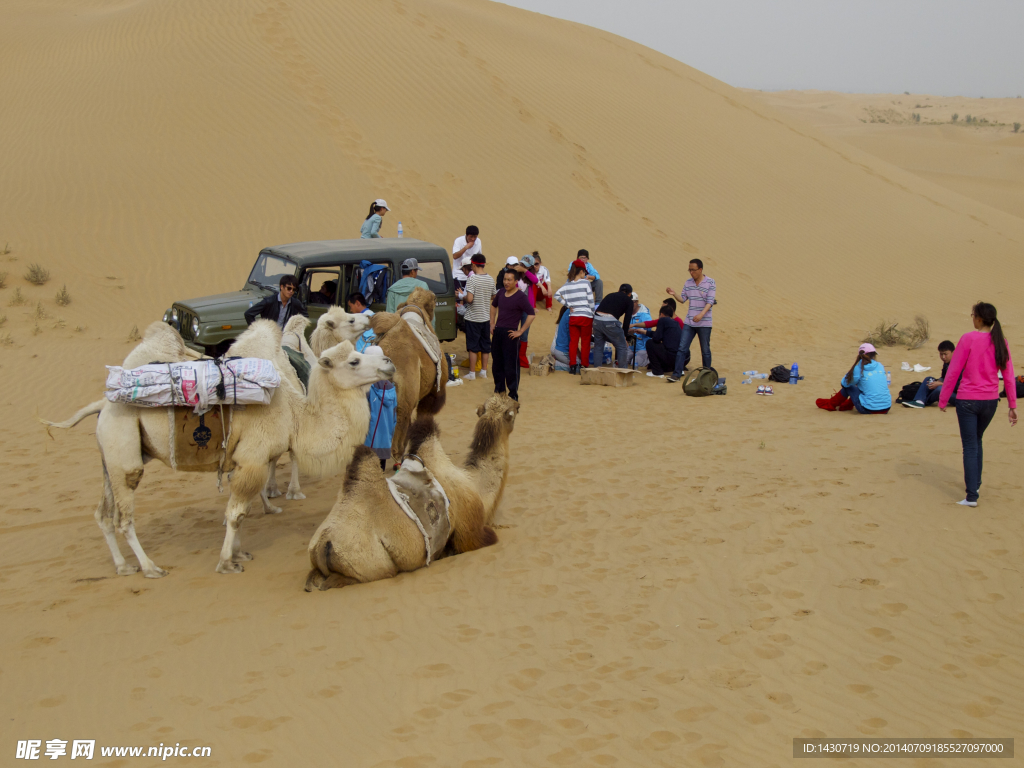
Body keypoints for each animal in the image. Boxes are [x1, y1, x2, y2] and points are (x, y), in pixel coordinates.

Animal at [40, 319, 391, 577]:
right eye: (355, 360)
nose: (388, 362)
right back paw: (150, 567)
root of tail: (103, 404)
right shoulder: (253, 459)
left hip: (110, 458)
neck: (295, 416)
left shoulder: (245, 462)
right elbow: (235, 514)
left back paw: (123, 566)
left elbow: (241, 512)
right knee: (124, 518)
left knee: (102, 513)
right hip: (125, 457)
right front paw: (226, 563)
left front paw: (241, 552)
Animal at [299, 393, 516, 593]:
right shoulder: (470, 532)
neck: (475, 484)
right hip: (373, 565)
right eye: (514, 410)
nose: (517, 400)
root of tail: (322, 545)